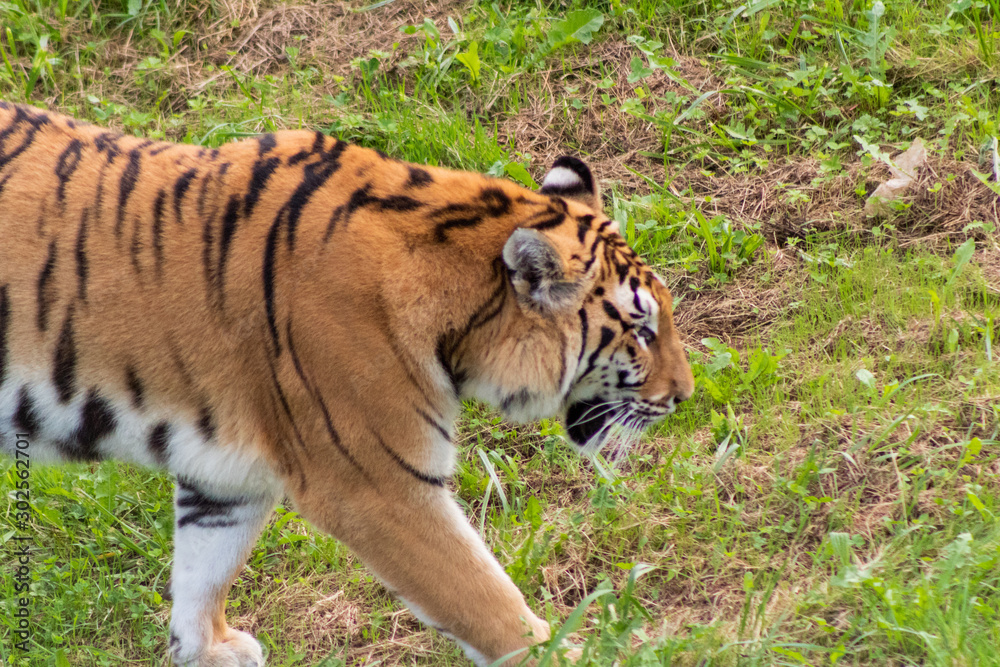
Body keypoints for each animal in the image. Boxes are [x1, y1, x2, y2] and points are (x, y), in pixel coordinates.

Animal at [0, 101, 694, 667]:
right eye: (641, 330)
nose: (685, 396)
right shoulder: (376, 484)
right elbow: (482, 595)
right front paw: (577, 654)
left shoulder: (225, 475)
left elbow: (204, 568)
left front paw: (206, 650)